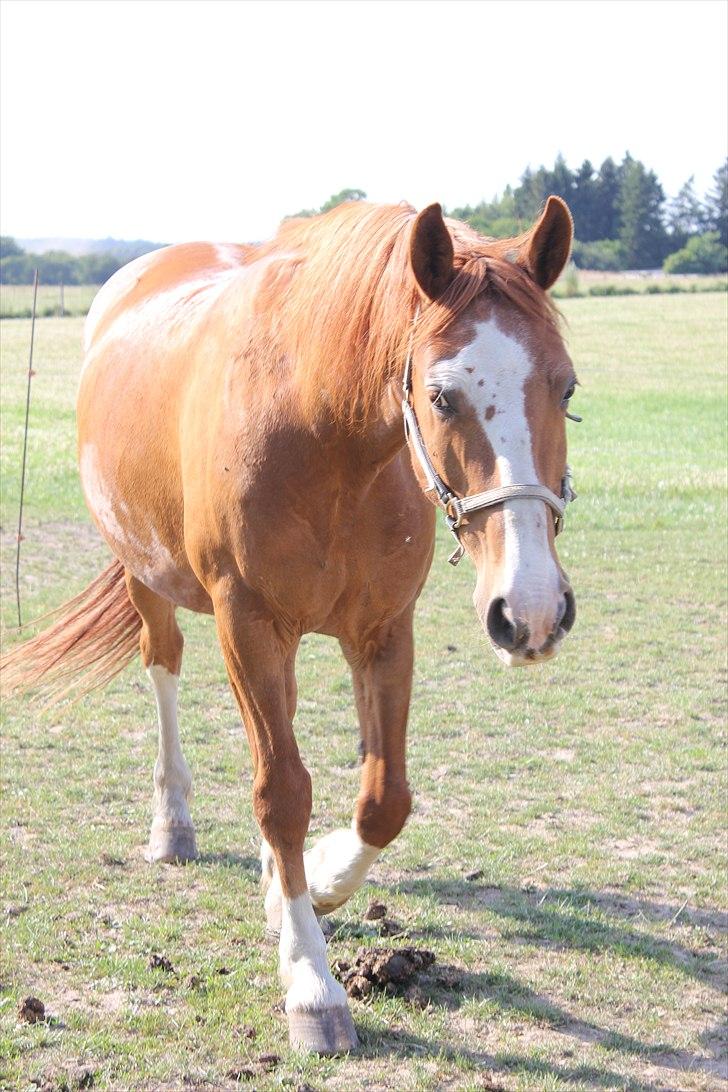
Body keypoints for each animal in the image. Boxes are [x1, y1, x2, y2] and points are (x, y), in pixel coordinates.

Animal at [2, 194, 576, 1048]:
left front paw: (321, 879)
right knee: (164, 668)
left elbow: (383, 798)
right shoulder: (247, 622)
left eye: (566, 388)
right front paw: (312, 982)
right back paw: (173, 825)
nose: (530, 612)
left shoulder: (383, 631)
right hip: (148, 578)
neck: (325, 435)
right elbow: (282, 791)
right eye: (442, 395)